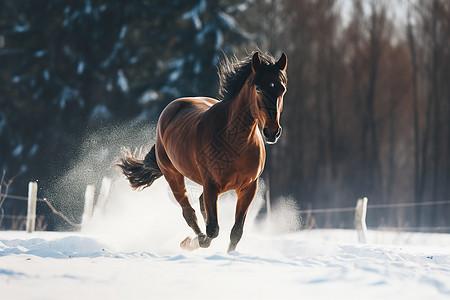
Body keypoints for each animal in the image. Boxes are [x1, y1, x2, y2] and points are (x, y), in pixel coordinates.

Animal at [118, 51, 288, 251]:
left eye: (282, 89)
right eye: (259, 90)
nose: (272, 132)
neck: (235, 143)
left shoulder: (248, 188)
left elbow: (236, 232)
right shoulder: (211, 185)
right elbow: (212, 230)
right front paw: (195, 242)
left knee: (199, 205)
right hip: (173, 175)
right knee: (189, 213)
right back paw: (187, 242)